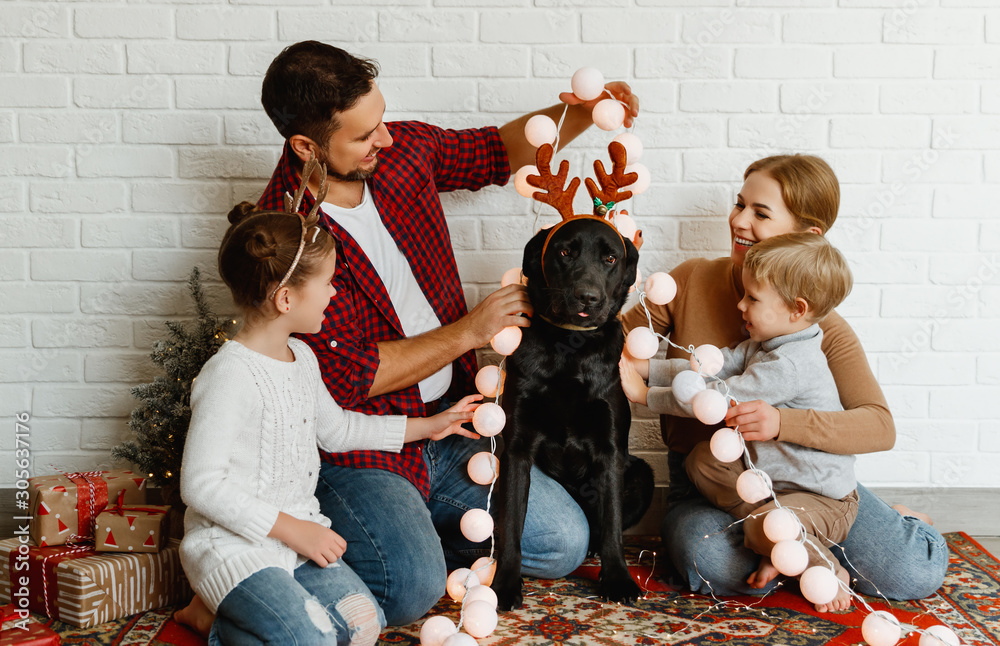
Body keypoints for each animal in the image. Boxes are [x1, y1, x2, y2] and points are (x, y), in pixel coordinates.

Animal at [492, 215, 656, 612]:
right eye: (565, 252)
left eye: (610, 258)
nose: (588, 297)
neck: (571, 347)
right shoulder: (516, 449)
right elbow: (511, 524)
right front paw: (504, 584)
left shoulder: (610, 449)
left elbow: (611, 522)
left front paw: (618, 578)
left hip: (642, 475)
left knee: (603, 526)